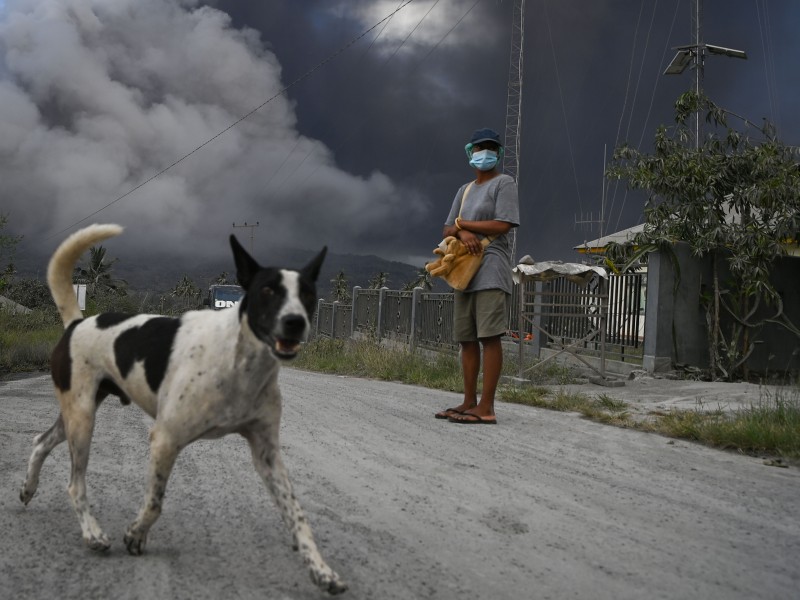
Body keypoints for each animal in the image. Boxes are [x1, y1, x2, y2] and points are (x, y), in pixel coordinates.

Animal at [20, 225, 346, 596]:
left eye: (307, 294)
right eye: (267, 291)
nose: (295, 322)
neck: (241, 361)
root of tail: (77, 322)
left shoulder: (268, 455)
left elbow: (297, 515)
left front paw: (321, 570)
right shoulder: (166, 439)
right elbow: (155, 502)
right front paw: (135, 535)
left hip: (75, 414)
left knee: (40, 441)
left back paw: (28, 488)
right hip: (83, 419)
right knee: (75, 484)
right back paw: (92, 534)